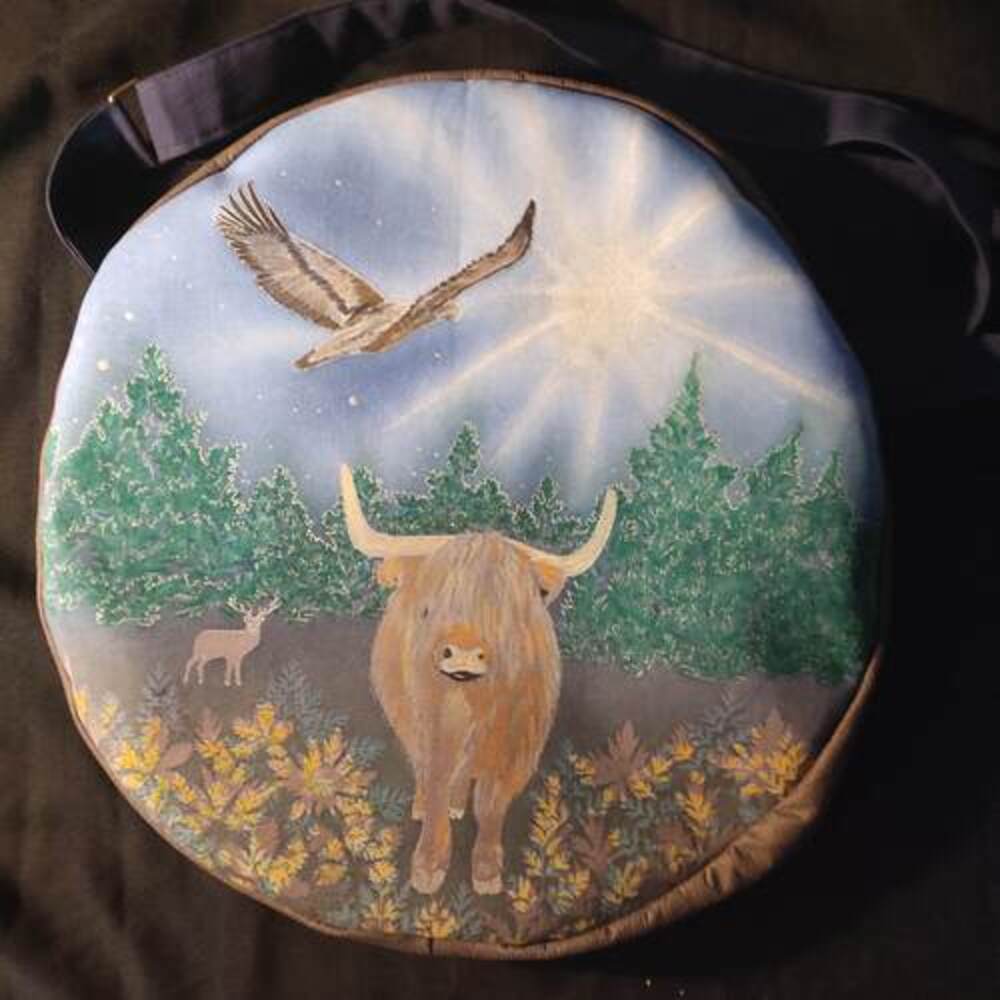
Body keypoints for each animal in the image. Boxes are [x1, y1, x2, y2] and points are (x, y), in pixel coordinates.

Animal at [339, 464, 617, 895]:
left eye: (507, 613)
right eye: (428, 608)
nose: (464, 653)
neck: (471, 706)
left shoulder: (518, 748)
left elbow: (491, 803)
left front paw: (486, 870)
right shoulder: (429, 730)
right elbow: (435, 782)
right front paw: (428, 865)